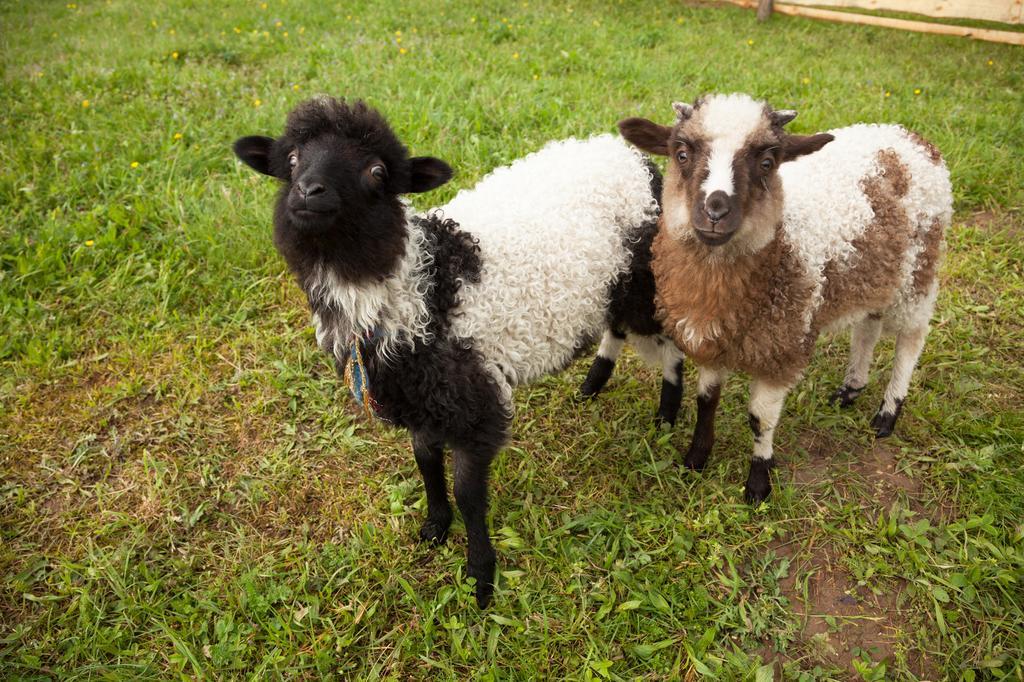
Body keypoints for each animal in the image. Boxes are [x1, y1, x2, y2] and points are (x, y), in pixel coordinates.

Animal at [231, 96, 679, 606]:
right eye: (290, 160)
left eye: (377, 171)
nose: (308, 191)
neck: (419, 286)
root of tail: (630, 157)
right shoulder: (418, 396)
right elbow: (425, 462)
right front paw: (434, 528)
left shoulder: (474, 398)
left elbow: (468, 491)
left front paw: (481, 577)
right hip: (613, 287)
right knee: (616, 328)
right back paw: (592, 385)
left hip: (646, 279)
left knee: (673, 346)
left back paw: (668, 418)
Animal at [618, 93, 954, 501]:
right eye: (681, 153)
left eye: (768, 162)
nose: (716, 210)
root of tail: (911, 137)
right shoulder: (712, 339)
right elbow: (706, 400)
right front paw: (695, 460)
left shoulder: (782, 345)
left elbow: (760, 418)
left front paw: (758, 484)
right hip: (875, 271)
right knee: (868, 328)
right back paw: (850, 389)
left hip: (919, 269)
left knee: (911, 338)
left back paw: (887, 414)